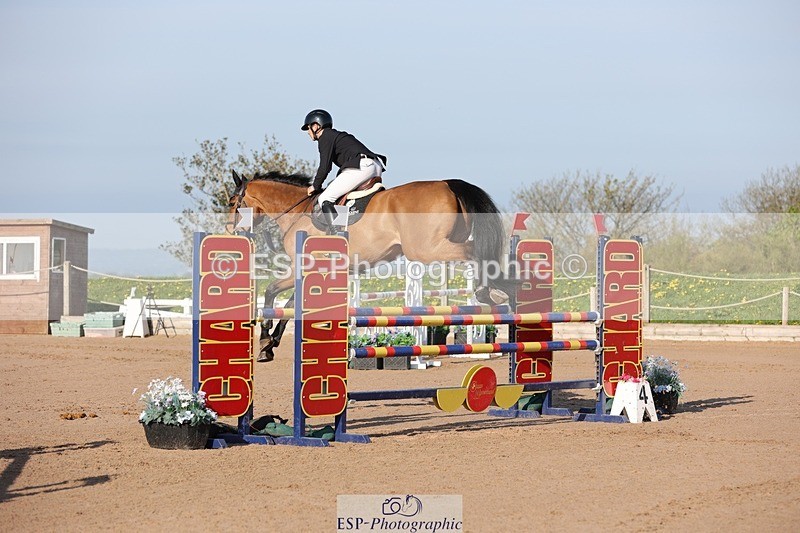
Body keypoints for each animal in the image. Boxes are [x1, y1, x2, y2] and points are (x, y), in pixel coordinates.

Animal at [227, 170, 514, 362]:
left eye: (232, 202)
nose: (232, 231)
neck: (298, 213)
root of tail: (448, 185)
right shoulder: (313, 271)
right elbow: (289, 305)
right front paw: (271, 344)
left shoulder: (302, 268)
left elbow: (272, 292)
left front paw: (265, 341)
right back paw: (502, 290)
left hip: (426, 249)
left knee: (474, 252)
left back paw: (489, 291)